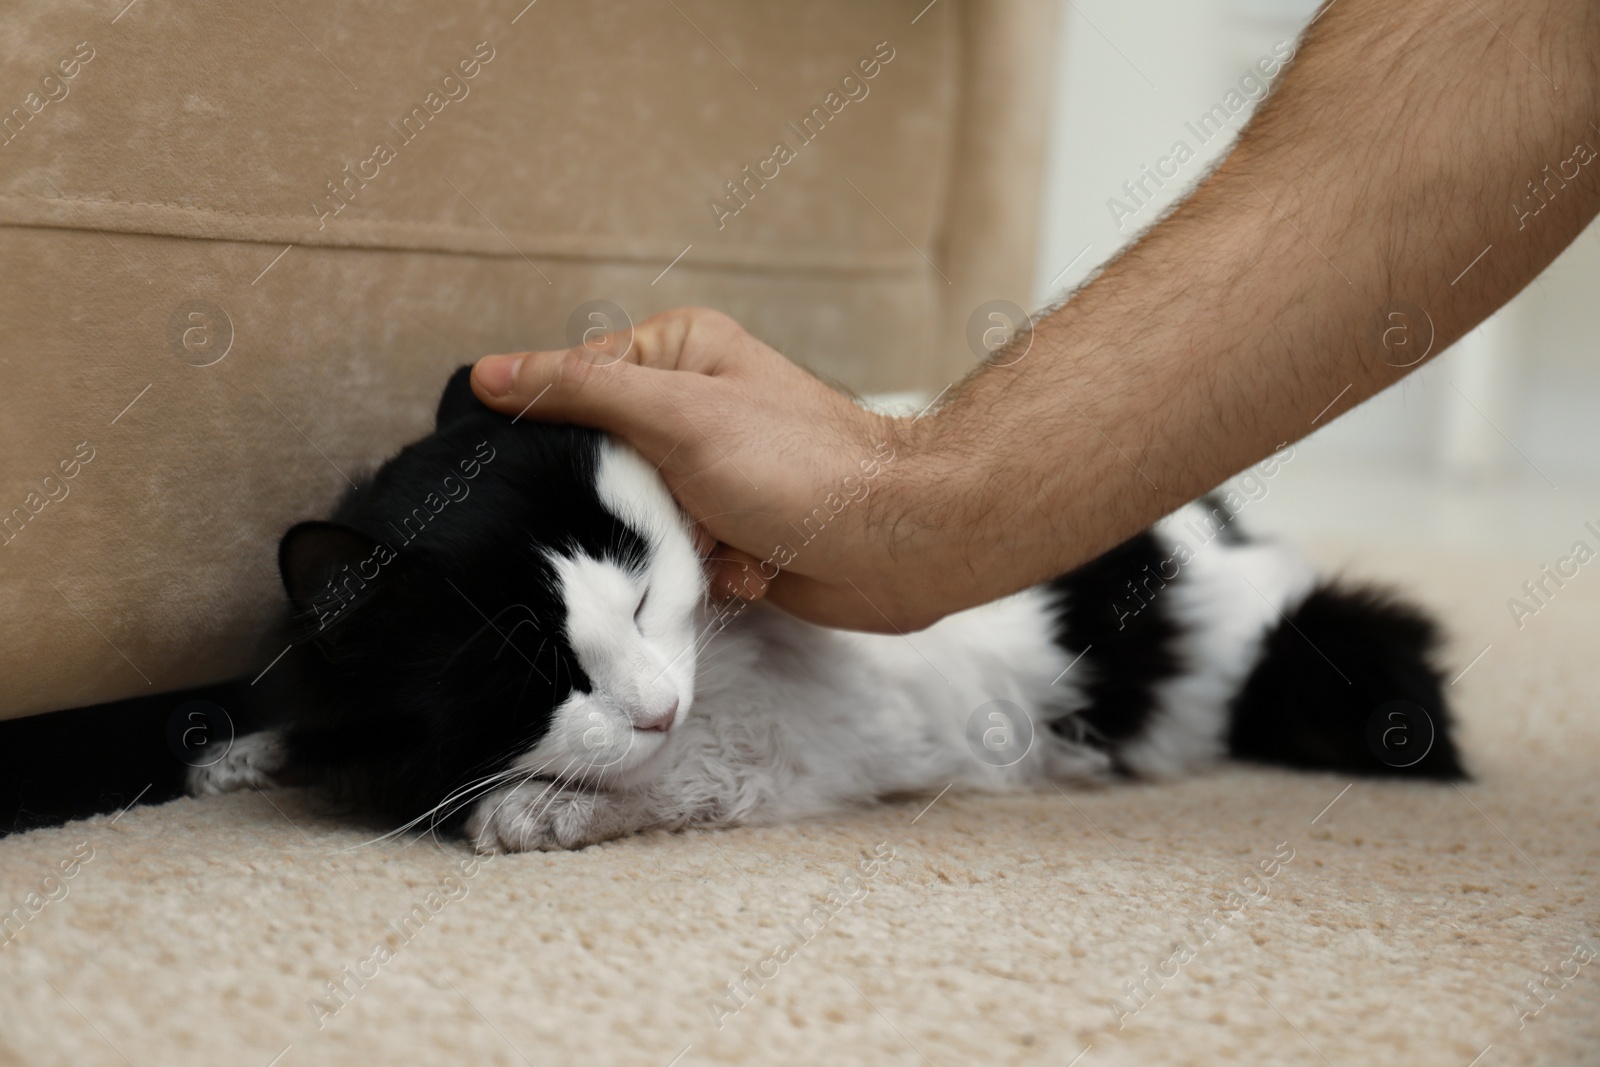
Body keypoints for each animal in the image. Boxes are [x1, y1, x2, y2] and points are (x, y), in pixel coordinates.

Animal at [187, 367, 1465, 851]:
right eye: (534, 665)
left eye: (644, 601)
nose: (654, 705)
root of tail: (1243, 557)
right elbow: (302, 723)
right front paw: (237, 753)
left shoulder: (752, 757)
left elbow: (632, 787)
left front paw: (529, 810)